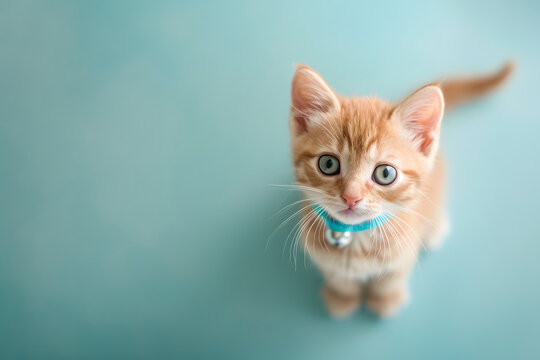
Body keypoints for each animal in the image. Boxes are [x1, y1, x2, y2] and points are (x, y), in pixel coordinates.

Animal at [288, 62, 512, 318]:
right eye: (328, 164)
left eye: (385, 174)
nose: (351, 197)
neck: (356, 241)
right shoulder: (324, 260)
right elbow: (338, 277)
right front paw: (342, 297)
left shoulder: (404, 253)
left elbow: (391, 279)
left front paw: (385, 299)